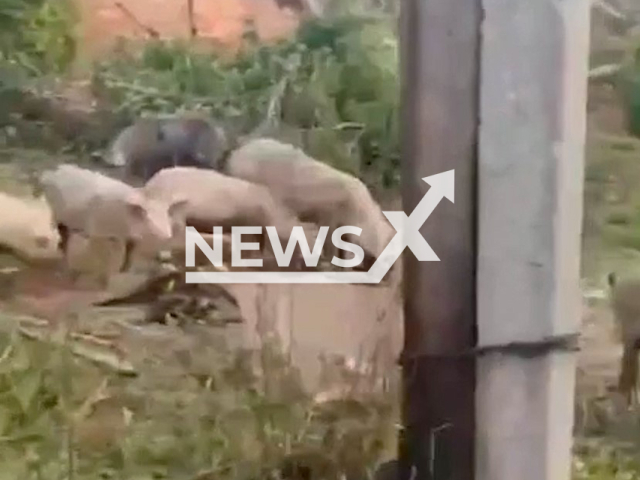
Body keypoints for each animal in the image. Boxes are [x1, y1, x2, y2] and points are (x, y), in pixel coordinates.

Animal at [221, 138, 396, 274]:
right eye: (386, 253)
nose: (388, 277)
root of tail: (233, 156)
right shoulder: (328, 216)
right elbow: (332, 243)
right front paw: (333, 267)